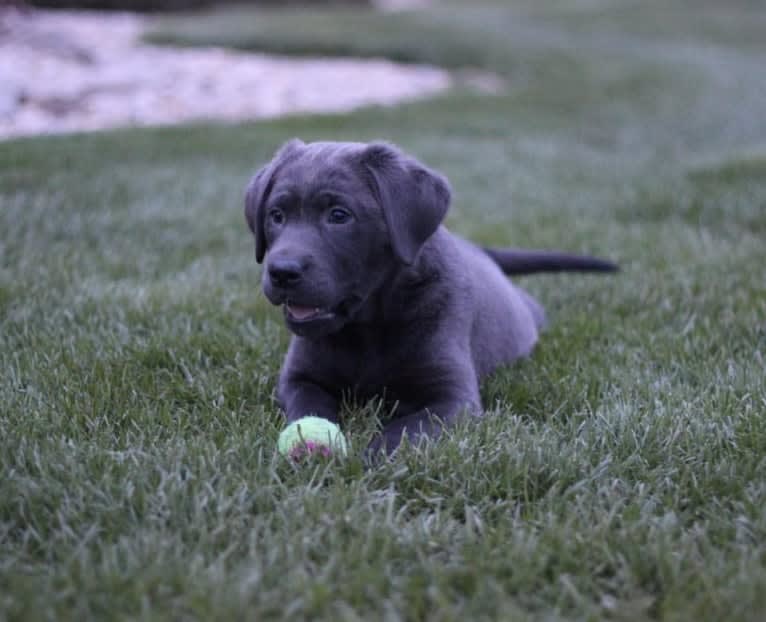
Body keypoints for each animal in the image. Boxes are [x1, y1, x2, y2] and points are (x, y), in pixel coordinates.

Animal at [246, 139, 616, 456]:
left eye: (339, 215)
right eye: (276, 215)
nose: (282, 272)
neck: (369, 325)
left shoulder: (452, 397)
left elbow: (408, 427)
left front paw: (377, 455)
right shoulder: (297, 377)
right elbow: (307, 406)